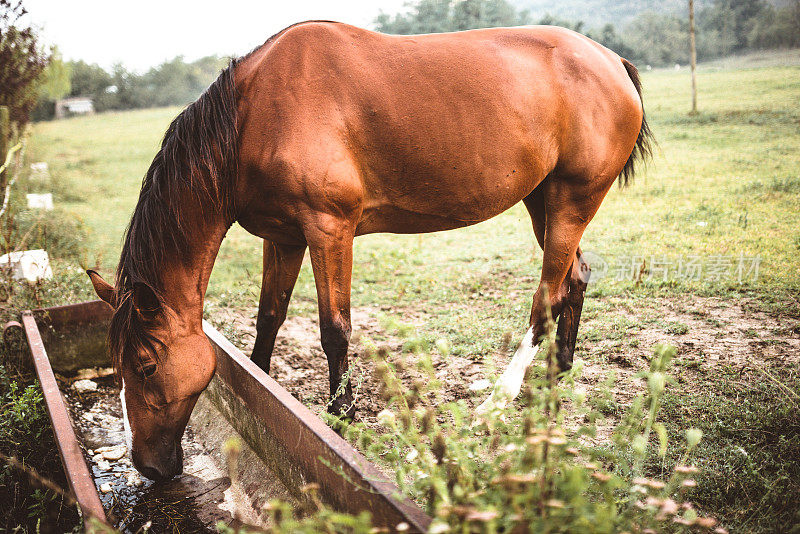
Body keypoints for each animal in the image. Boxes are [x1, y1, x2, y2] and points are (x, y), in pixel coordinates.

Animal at [87, 22, 648, 482]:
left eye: (146, 367)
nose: (148, 467)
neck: (253, 115)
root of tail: (611, 60)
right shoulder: (284, 236)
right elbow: (269, 318)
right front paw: (265, 389)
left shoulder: (328, 229)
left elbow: (334, 329)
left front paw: (341, 418)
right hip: (543, 200)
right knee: (574, 279)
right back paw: (558, 373)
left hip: (572, 200)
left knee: (546, 294)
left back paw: (499, 400)